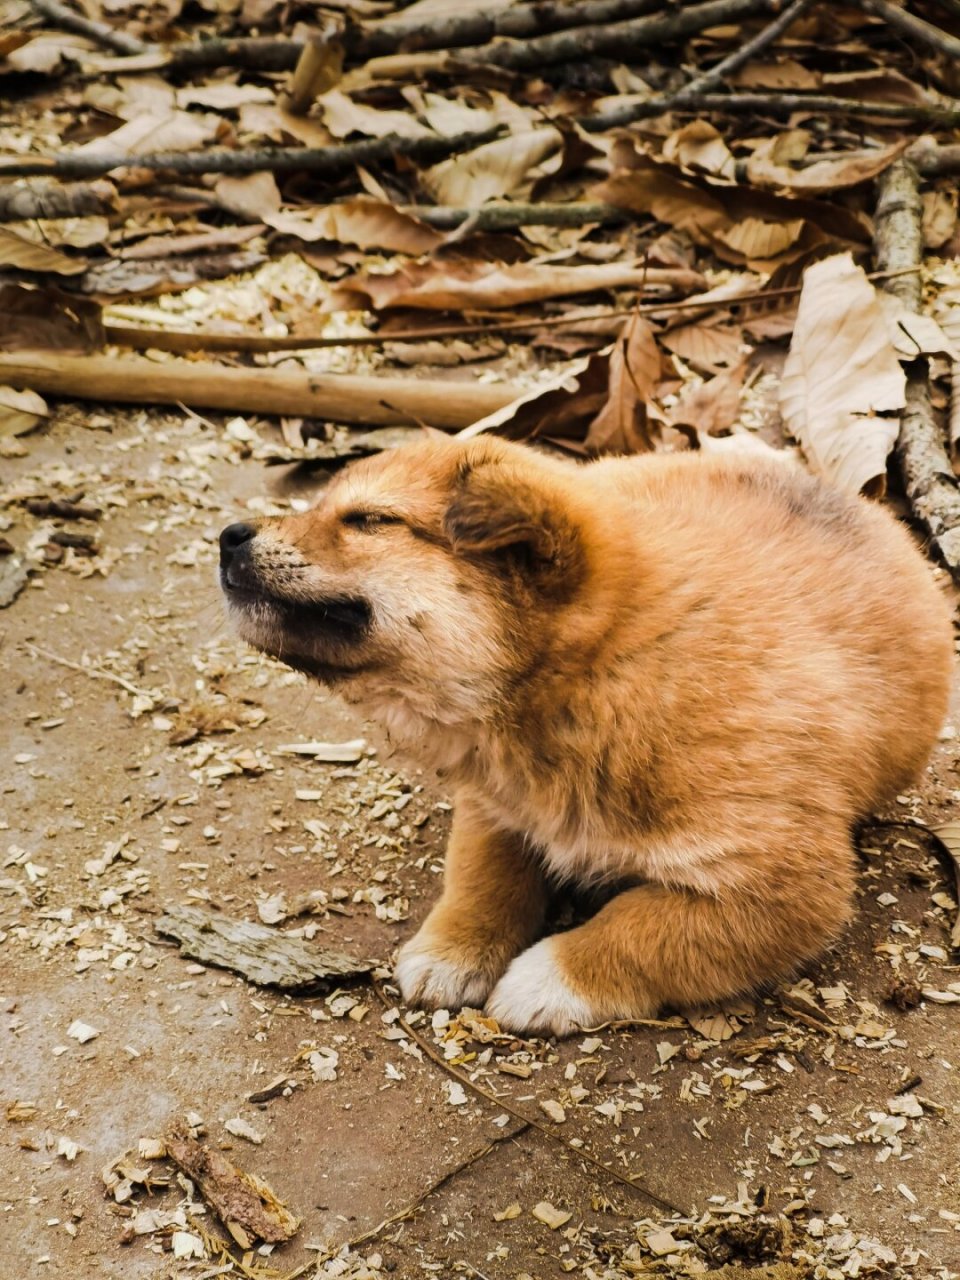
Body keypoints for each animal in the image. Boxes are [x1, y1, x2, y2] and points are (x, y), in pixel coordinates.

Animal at [224, 435, 957, 1034]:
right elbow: (481, 875)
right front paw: (454, 947)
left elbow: (638, 929)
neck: (595, 677)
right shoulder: (495, 805)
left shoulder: (785, 890)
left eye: (370, 519)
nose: (228, 534)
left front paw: (548, 979)